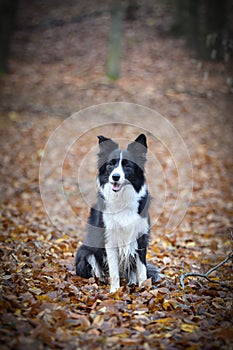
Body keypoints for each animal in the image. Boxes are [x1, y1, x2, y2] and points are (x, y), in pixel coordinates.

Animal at [75, 134, 159, 292]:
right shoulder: (110, 239)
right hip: (86, 252)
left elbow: (142, 269)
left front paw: (144, 289)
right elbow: (114, 271)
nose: (115, 176)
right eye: (111, 164)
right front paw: (114, 292)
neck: (122, 199)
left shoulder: (141, 237)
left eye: (127, 165)